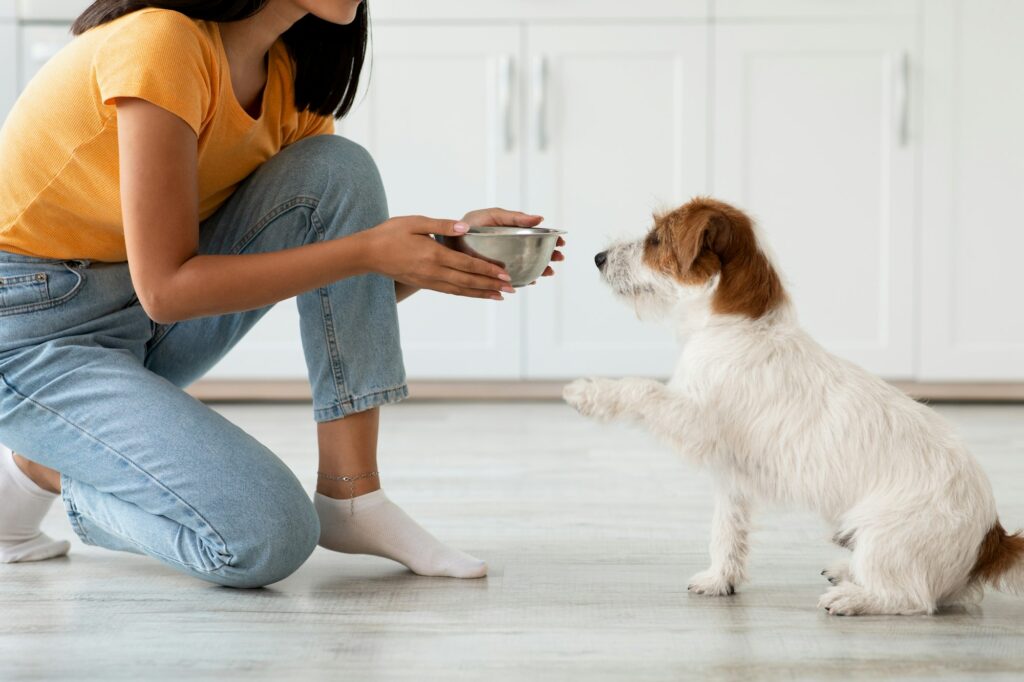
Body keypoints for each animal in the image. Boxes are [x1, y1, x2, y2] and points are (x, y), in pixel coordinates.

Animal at [565, 193, 1019, 614]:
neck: (737, 325)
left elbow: (642, 389)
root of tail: (991, 538)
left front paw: (588, 392)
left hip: (885, 535)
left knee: (911, 597)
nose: (598, 258)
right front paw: (720, 579)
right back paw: (845, 571)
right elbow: (726, 529)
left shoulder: (694, 419)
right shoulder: (731, 475)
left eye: (656, 239)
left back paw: (852, 598)